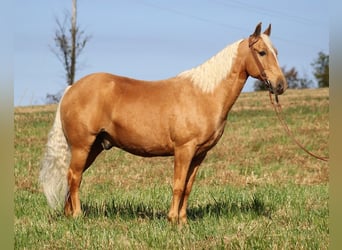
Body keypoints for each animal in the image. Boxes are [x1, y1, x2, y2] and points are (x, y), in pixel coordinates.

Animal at [39, 22, 286, 224]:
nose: (280, 85)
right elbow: (178, 185)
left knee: (73, 176)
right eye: (262, 52)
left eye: (276, 52)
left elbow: (188, 187)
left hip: (94, 147)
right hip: (82, 146)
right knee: (74, 176)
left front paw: (183, 221)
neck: (204, 94)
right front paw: (172, 220)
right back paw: (78, 216)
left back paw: (68, 214)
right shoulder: (184, 150)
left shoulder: (199, 154)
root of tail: (72, 88)